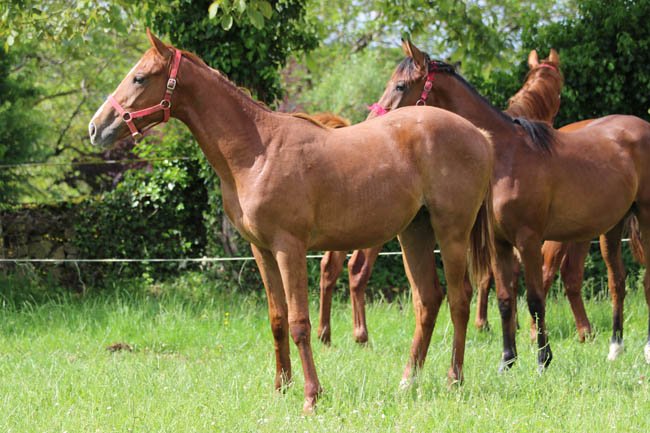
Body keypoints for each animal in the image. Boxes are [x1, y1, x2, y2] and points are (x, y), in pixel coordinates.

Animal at [88, 30, 495, 411]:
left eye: (140, 78)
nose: (96, 128)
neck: (257, 151)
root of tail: (480, 135)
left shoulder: (290, 248)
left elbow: (300, 322)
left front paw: (311, 396)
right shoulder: (262, 250)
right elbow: (277, 319)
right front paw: (280, 388)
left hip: (451, 232)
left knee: (460, 297)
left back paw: (453, 379)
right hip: (414, 232)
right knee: (427, 299)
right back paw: (408, 382)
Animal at [370, 40, 650, 371]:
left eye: (400, 85)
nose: (372, 122)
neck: (502, 154)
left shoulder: (529, 240)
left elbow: (535, 299)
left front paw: (543, 359)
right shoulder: (500, 243)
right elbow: (505, 298)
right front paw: (507, 361)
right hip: (611, 228)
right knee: (618, 282)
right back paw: (615, 348)